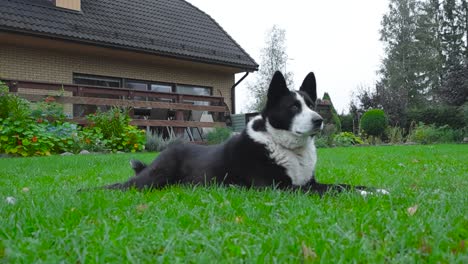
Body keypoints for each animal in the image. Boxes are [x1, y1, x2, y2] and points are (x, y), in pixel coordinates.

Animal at [100, 71, 386, 195]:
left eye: (311, 105)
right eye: (294, 107)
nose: (319, 121)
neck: (283, 146)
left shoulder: (308, 183)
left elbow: (342, 185)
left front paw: (376, 190)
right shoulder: (279, 188)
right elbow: (334, 191)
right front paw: (363, 195)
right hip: (152, 178)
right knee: (122, 186)